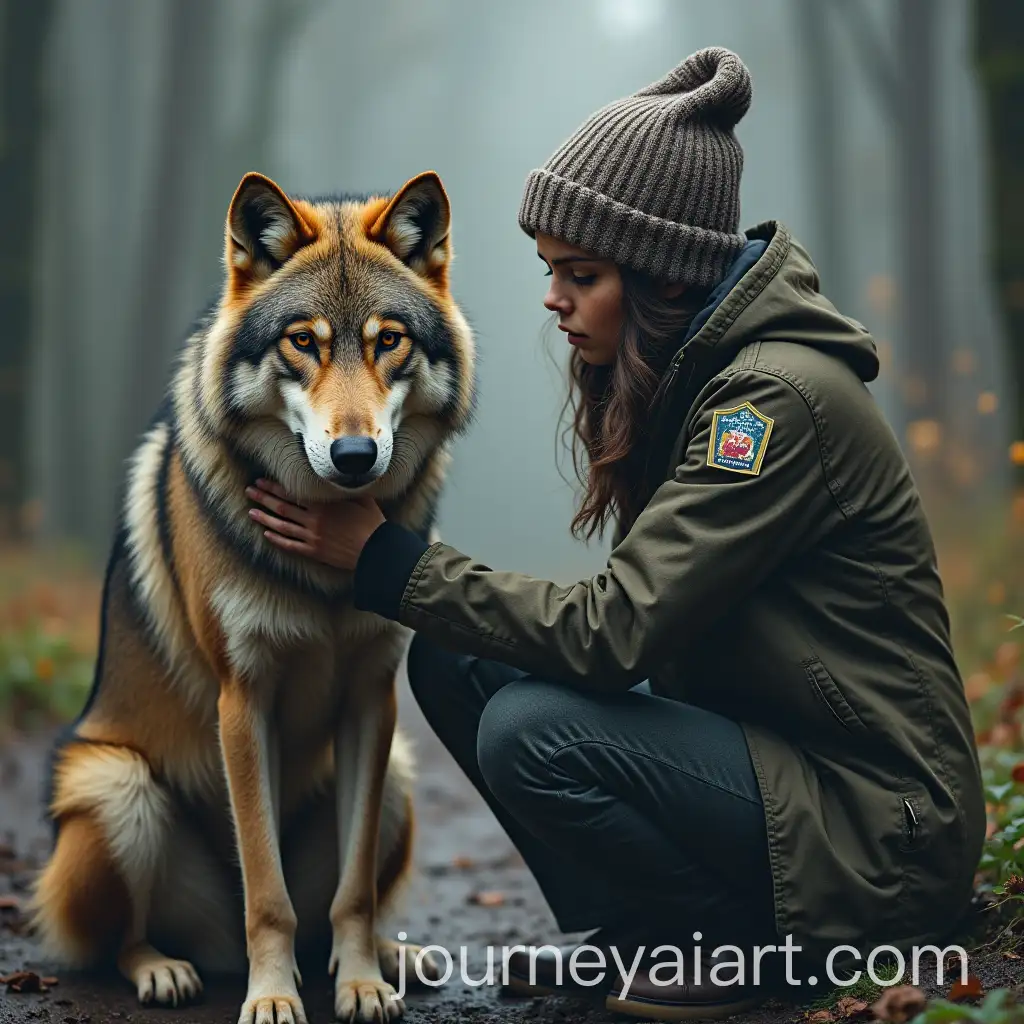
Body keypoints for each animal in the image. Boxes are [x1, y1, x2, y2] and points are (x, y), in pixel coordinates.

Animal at [30, 170, 475, 1024]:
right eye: (302, 341)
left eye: (389, 341)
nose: (355, 454)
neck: (329, 566)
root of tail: (215, 949)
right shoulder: (245, 701)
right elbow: (268, 894)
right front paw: (272, 998)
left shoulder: (372, 700)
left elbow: (353, 894)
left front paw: (360, 982)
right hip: (117, 787)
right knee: (120, 942)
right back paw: (166, 971)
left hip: (400, 776)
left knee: (332, 914)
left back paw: (394, 959)